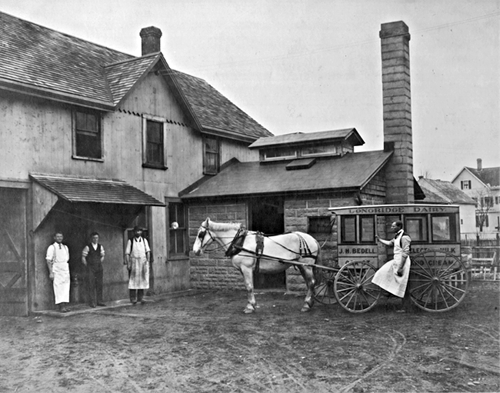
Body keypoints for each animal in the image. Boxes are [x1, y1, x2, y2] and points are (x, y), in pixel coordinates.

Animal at [192, 217, 320, 312]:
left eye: (201, 234)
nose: (195, 251)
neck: (240, 242)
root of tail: (313, 239)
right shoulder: (243, 270)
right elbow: (248, 286)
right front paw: (252, 304)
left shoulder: (246, 268)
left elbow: (249, 286)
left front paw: (249, 307)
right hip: (301, 265)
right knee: (309, 283)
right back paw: (309, 302)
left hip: (306, 266)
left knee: (311, 282)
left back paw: (307, 304)